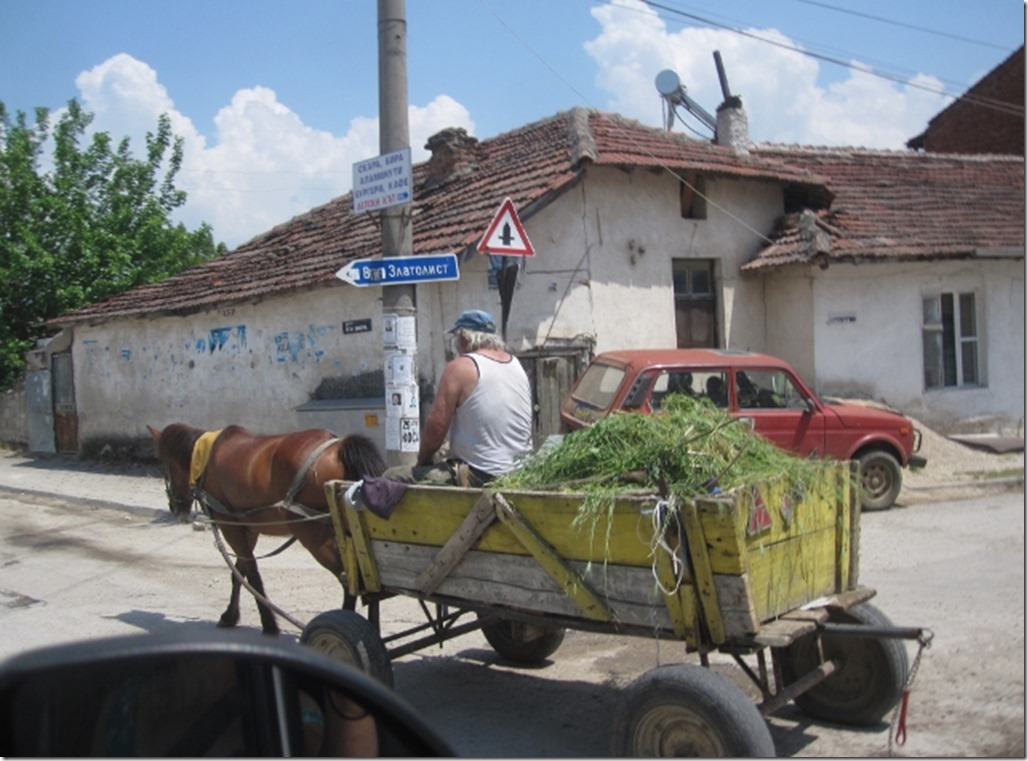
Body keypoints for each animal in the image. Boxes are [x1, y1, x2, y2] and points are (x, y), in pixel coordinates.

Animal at [147, 425, 384, 633]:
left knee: (349, 578)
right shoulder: (247, 529)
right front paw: (230, 616)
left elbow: (251, 574)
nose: (175, 507)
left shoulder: (229, 525)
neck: (206, 460)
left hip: (311, 534)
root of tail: (339, 445)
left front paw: (268, 623)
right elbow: (239, 572)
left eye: (165, 466)